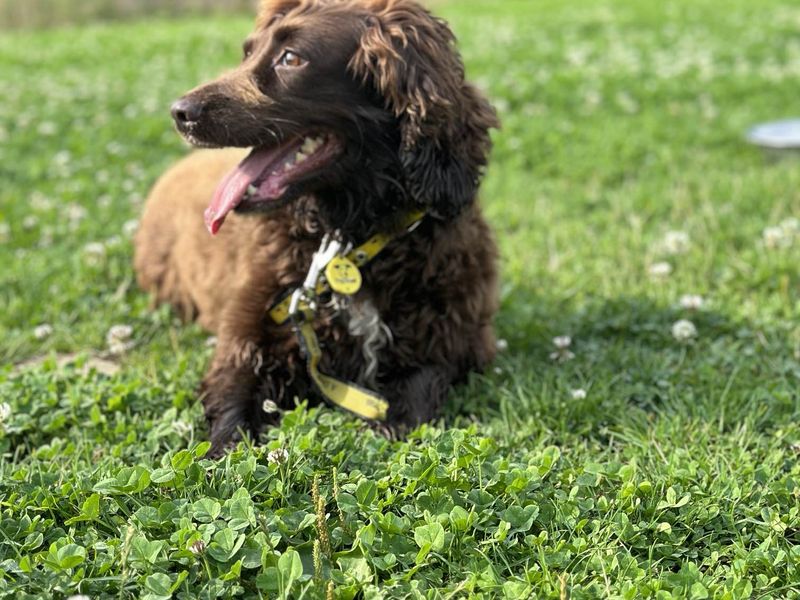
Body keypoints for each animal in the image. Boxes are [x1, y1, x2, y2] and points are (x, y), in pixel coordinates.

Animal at [136, 0, 500, 452]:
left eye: (291, 59)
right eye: (248, 52)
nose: (180, 112)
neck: (348, 240)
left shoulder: (455, 339)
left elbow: (417, 394)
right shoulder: (246, 341)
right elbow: (231, 413)